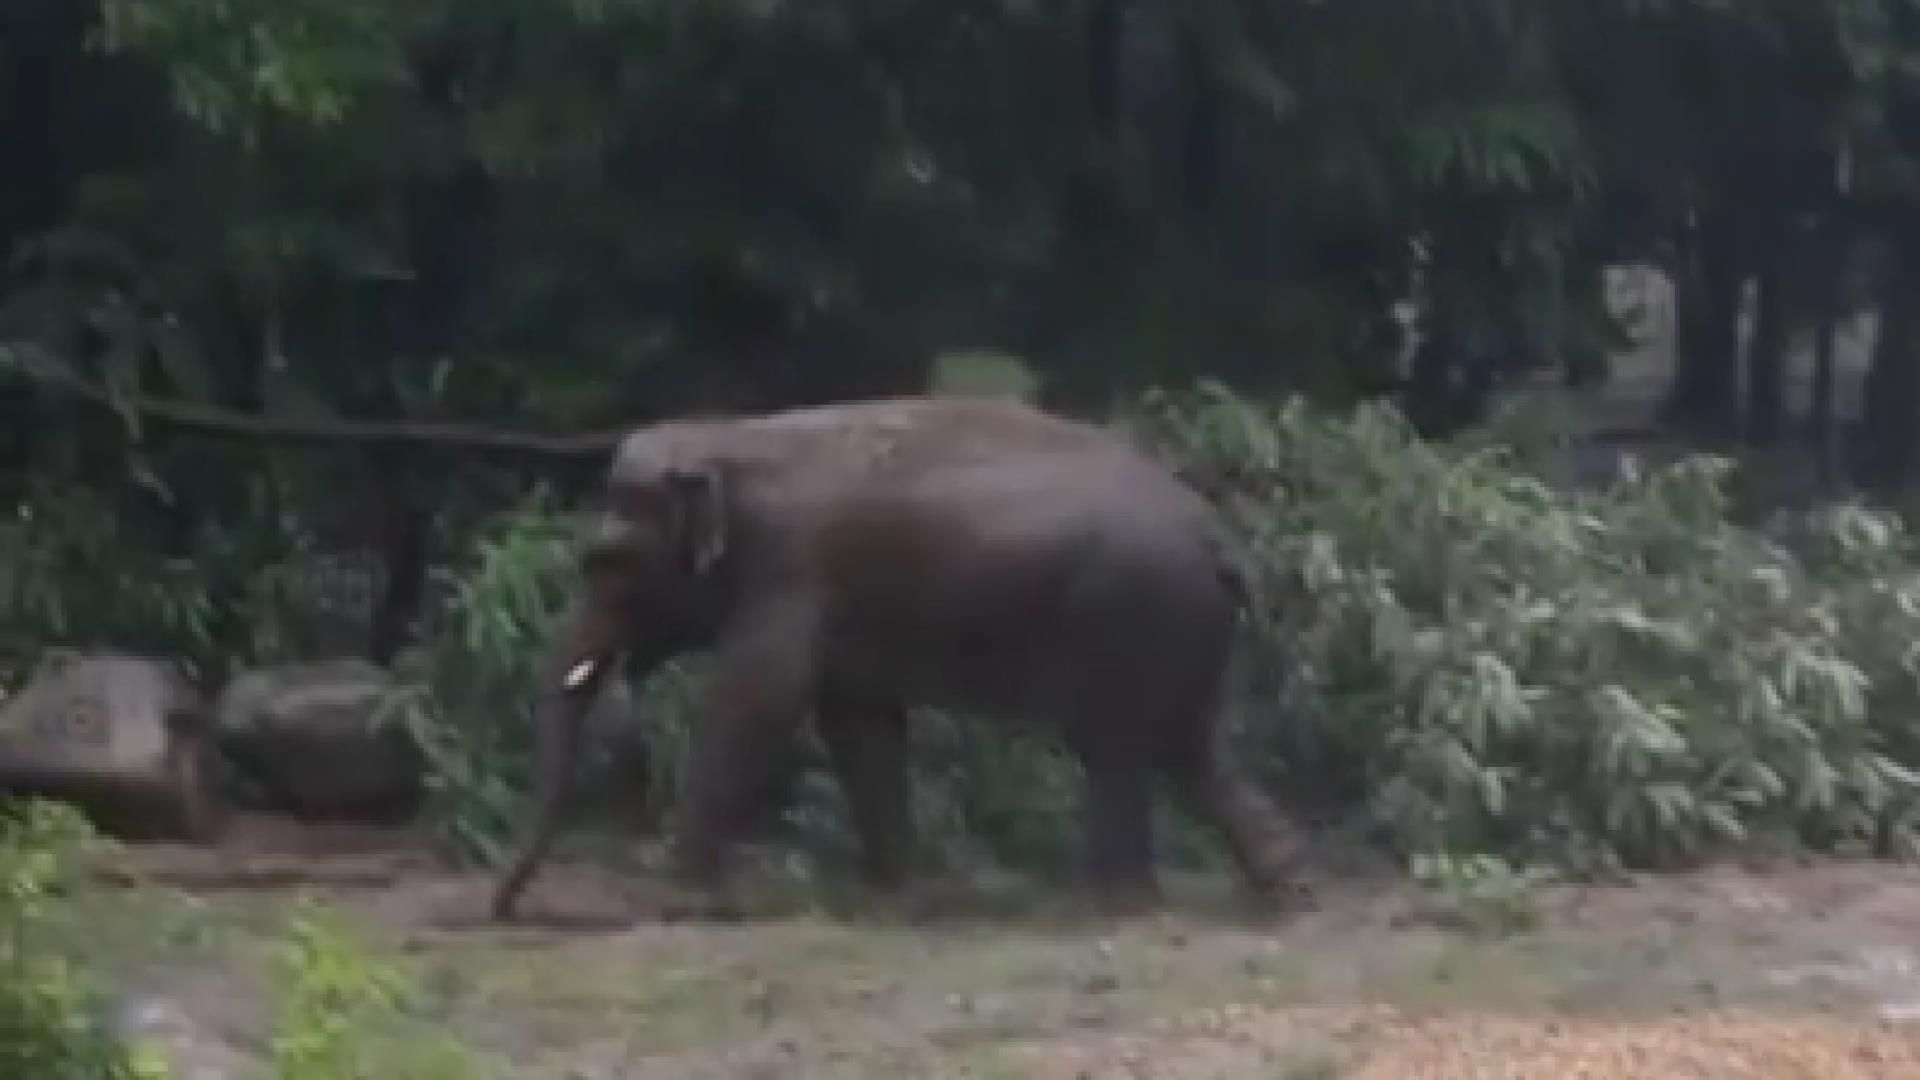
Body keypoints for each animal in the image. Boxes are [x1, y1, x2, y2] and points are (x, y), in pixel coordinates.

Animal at [491, 395, 1305, 914]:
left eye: (606, 563)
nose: (500, 909)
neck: (732, 438)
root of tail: (1220, 541)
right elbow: (859, 723)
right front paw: (894, 893)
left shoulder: (793, 570)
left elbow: (758, 702)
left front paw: (677, 894)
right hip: (1172, 627)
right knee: (1186, 746)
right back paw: (1273, 891)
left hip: (1130, 613)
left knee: (1119, 745)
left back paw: (1115, 902)